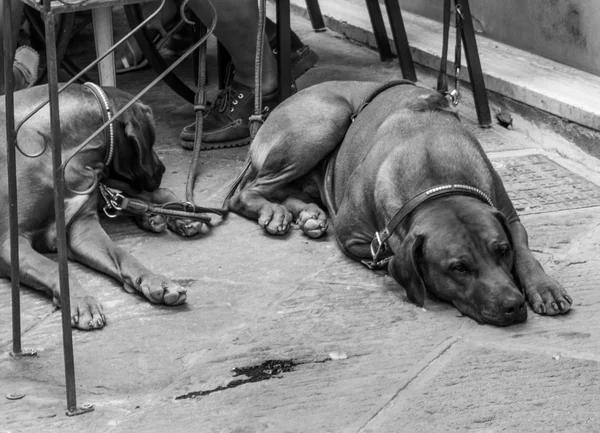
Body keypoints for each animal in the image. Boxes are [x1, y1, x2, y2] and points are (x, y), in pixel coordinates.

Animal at [0, 84, 206, 330]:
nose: (162, 168)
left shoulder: (82, 230)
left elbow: (122, 254)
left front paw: (157, 280)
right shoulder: (11, 243)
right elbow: (54, 268)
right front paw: (82, 302)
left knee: (149, 194)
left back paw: (181, 215)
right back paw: (156, 216)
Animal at [229, 80, 572, 324]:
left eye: (502, 251)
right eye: (458, 268)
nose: (514, 305)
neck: (436, 183)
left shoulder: (508, 217)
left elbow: (525, 253)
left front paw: (545, 287)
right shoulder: (353, 237)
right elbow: (389, 253)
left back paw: (308, 214)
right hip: (323, 122)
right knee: (243, 193)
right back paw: (274, 213)